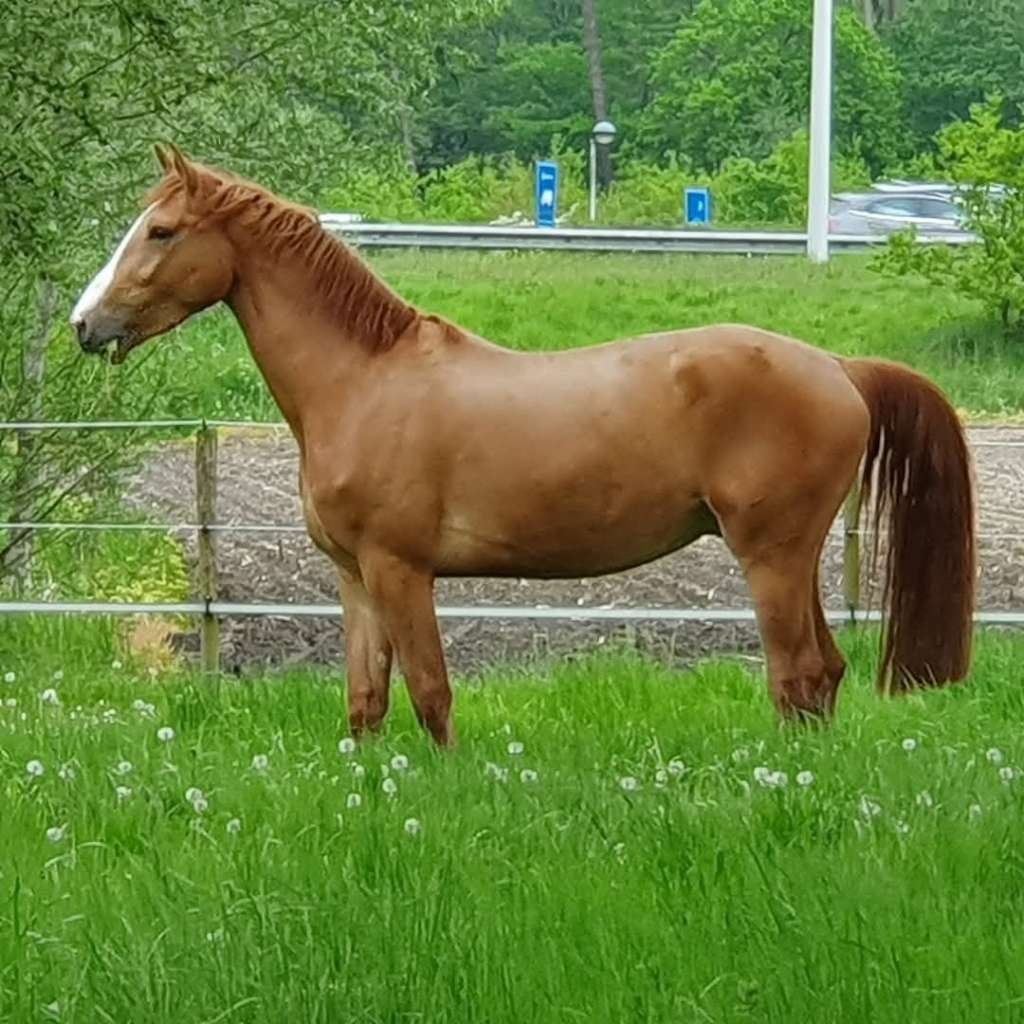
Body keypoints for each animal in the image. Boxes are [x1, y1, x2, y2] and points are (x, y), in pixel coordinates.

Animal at [69, 144, 976, 746]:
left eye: (161, 231)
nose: (85, 324)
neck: (364, 381)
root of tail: (837, 367)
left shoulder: (401, 571)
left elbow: (431, 695)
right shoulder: (355, 579)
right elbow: (366, 704)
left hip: (772, 558)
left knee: (798, 677)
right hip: (789, 559)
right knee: (826, 674)